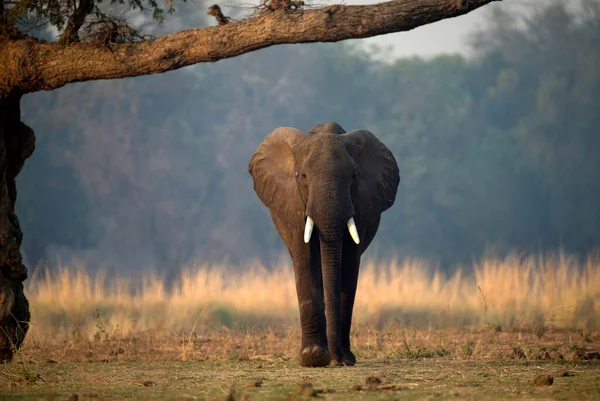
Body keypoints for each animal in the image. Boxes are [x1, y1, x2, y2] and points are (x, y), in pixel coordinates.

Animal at [248, 121, 398, 366]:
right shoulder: (294, 204)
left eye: (354, 176)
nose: (339, 360)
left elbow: (348, 266)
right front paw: (314, 357)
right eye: (303, 176)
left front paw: (344, 359)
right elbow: (305, 260)